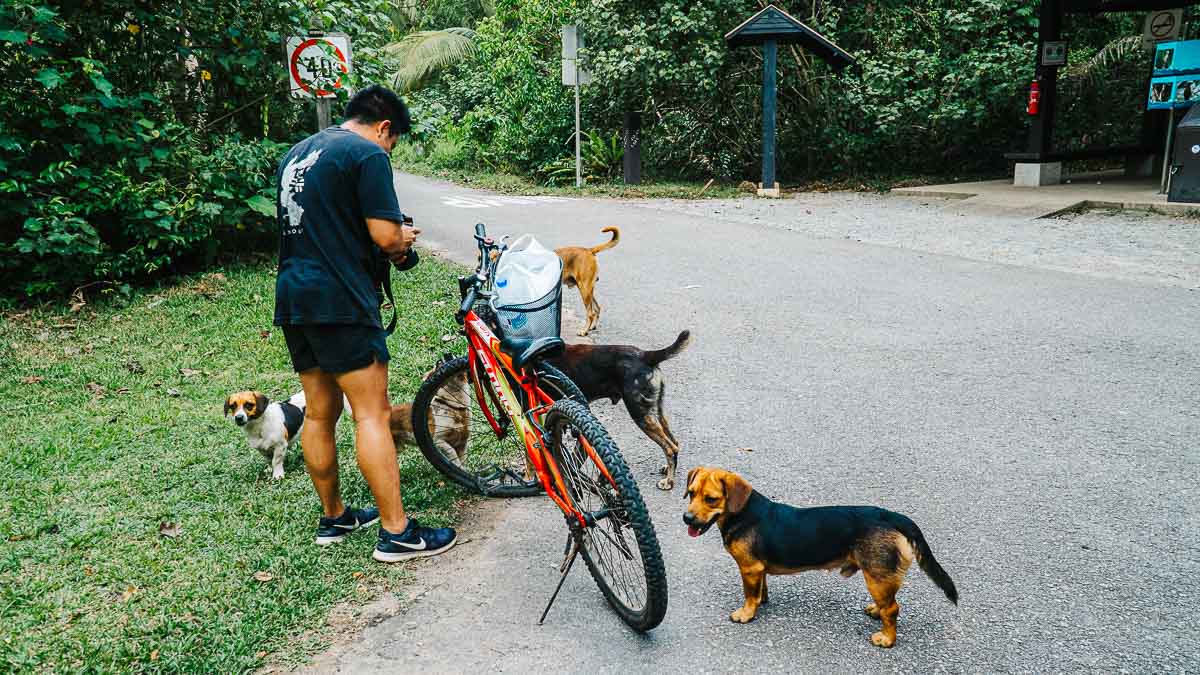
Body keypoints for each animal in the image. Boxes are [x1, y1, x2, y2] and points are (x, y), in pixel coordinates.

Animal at [549, 329, 691, 485]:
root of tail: (645, 355)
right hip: (656, 410)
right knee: (674, 442)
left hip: (640, 413)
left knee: (670, 448)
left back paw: (669, 481)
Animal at [686, 461, 955, 648]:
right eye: (690, 493)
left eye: (711, 499)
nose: (686, 518)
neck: (742, 513)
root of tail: (892, 517)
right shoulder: (758, 569)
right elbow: (760, 589)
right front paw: (761, 601)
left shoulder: (749, 568)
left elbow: (749, 594)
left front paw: (746, 614)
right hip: (881, 578)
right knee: (889, 604)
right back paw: (876, 611)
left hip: (876, 577)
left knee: (893, 610)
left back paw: (887, 639)